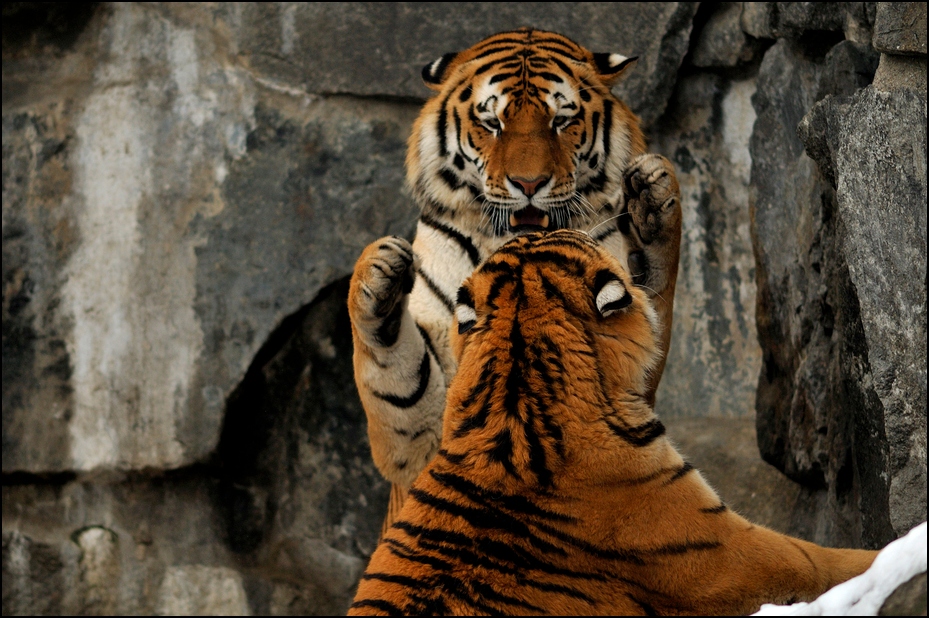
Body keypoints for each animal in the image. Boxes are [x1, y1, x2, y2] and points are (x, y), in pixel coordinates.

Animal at [348, 28, 683, 532]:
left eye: (562, 120)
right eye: (492, 123)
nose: (529, 184)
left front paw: (653, 192)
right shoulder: (423, 433)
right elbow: (400, 380)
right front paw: (379, 275)